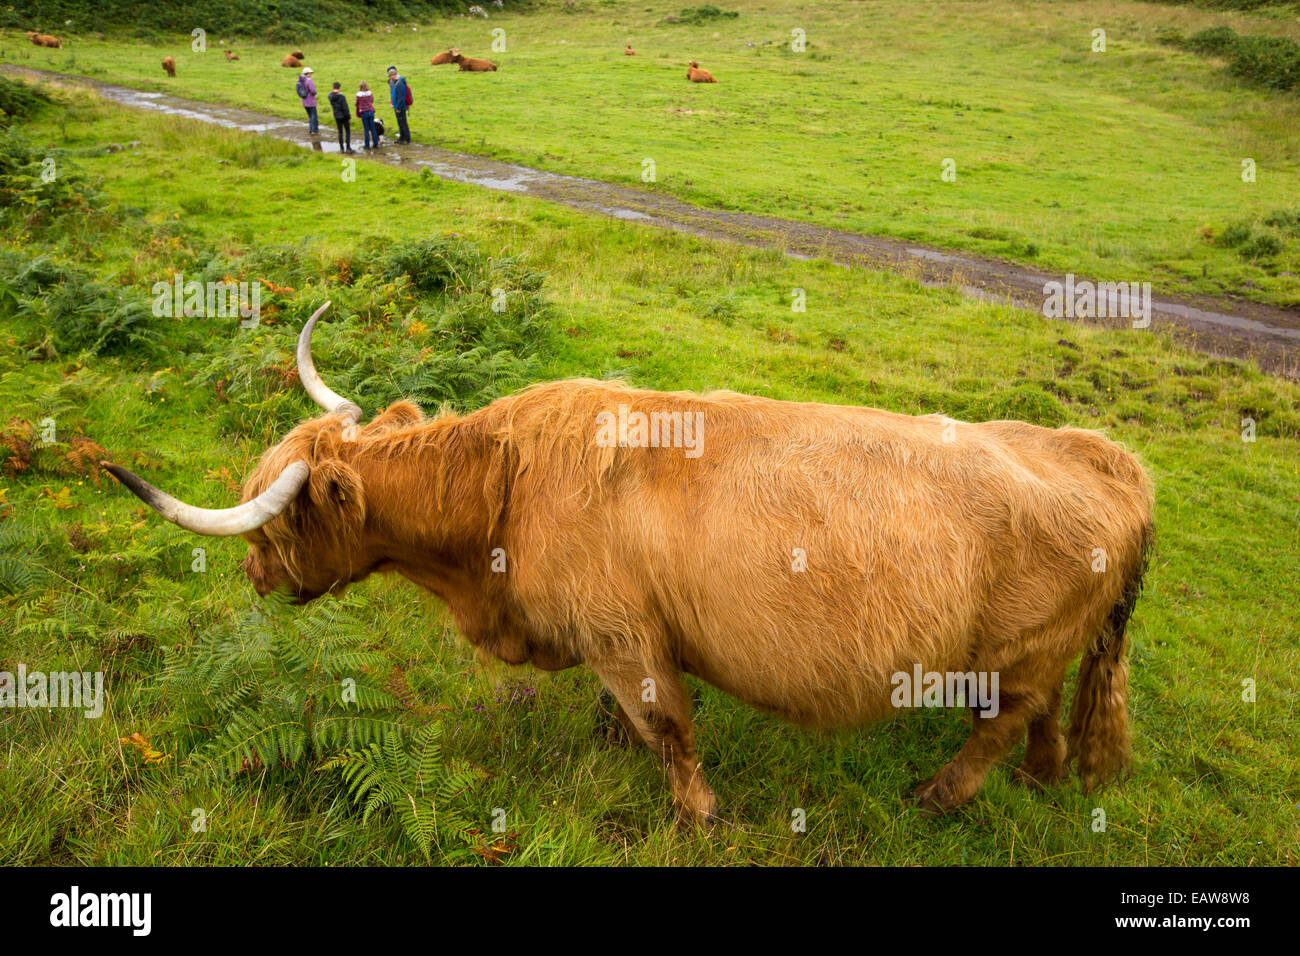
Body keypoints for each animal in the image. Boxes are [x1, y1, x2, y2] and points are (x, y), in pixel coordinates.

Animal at [105, 303, 1154, 827]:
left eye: (273, 526)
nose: (252, 579)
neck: (502, 495)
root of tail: (1110, 459)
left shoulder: (624, 637)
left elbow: (670, 729)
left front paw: (699, 816)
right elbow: (635, 724)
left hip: (1014, 655)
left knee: (996, 726)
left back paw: (939, 796)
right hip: (1039, 652)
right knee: (1040, 717)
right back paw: (1042, 781)